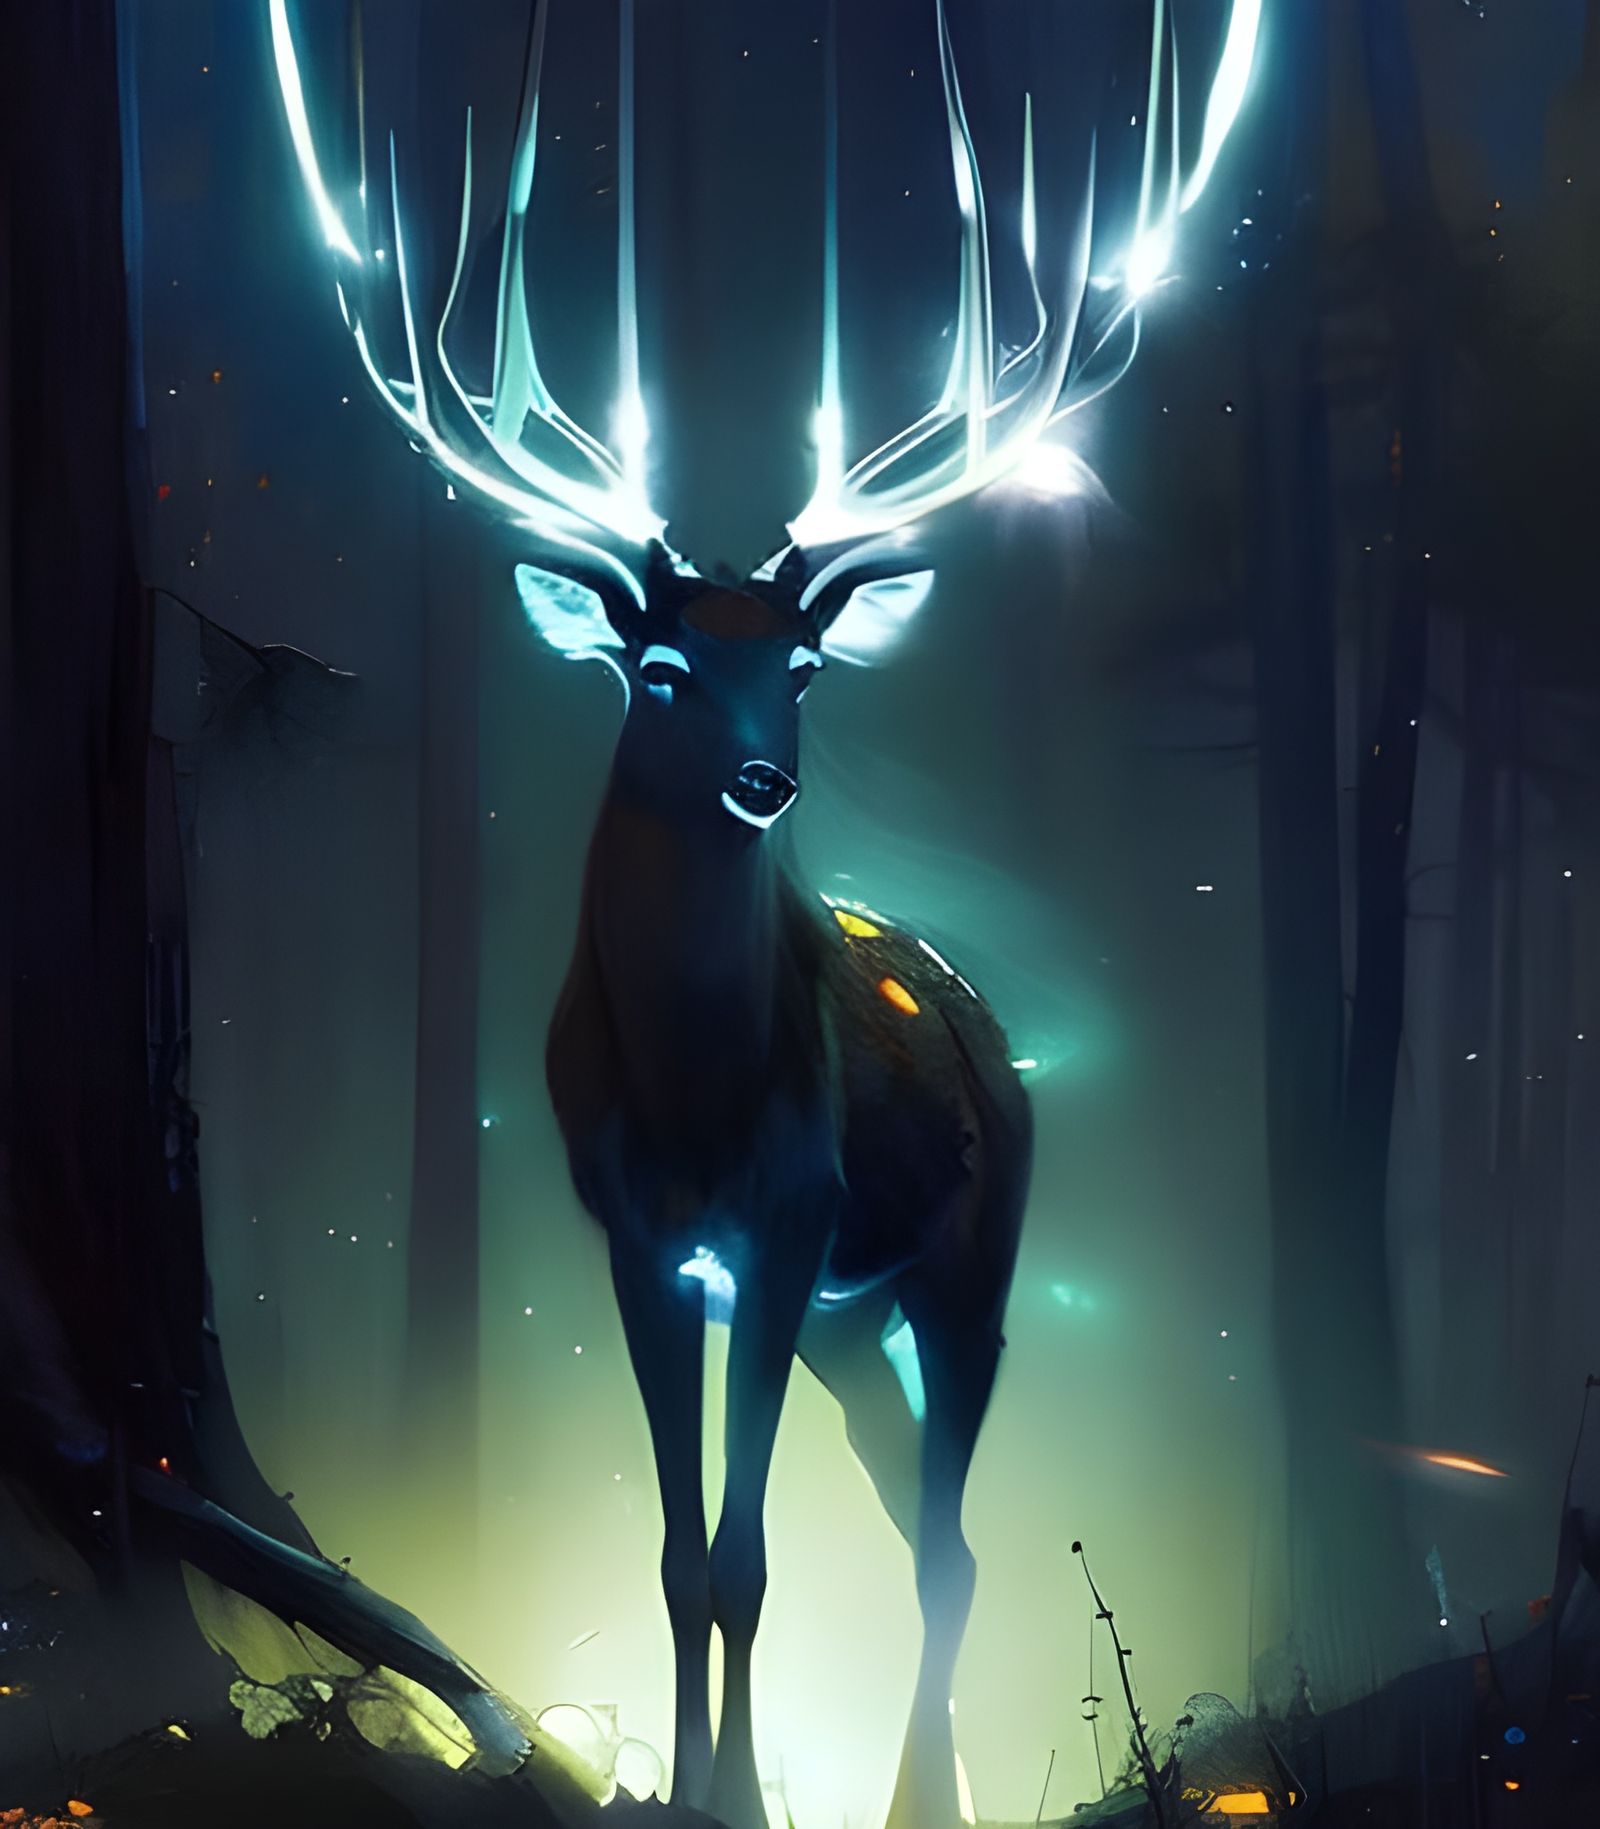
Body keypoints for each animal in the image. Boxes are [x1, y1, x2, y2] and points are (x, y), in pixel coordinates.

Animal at [269, 1, 1260, 1821]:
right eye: (660, 666)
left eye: (799, 665)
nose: (762, 781)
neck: (698, 1099)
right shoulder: (643, 1239)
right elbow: (681, 1555)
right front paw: (694, 1785)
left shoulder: (791, 1220)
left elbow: (746, 1553)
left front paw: (736, 1789)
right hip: (852, 1334)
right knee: (922, 1526)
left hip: (960, 1264)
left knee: (946, 1539)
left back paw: (924, 1791)